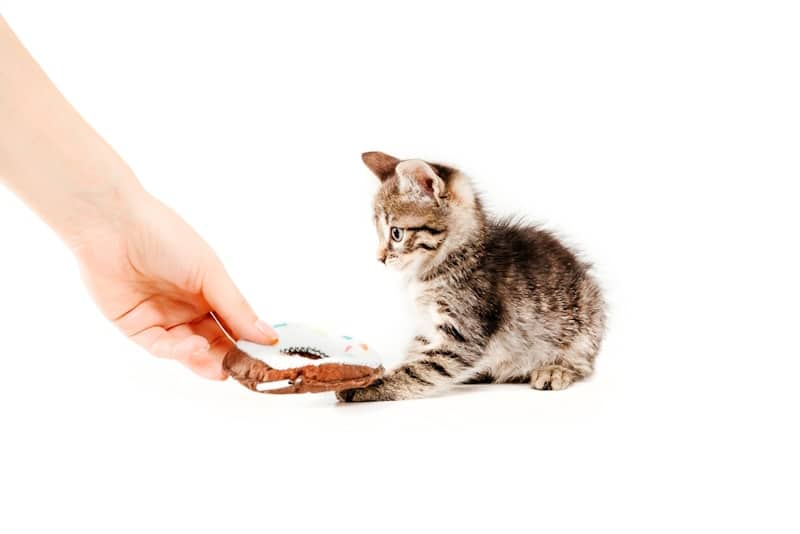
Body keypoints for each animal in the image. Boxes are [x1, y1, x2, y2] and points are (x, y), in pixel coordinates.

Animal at [334, 151, 604, 402]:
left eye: (396, 233)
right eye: (379, 232)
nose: (379, 258)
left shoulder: (463, 335)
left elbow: (418, 369)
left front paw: (365, 386)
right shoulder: (427, 329)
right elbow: (415, 355)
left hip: (584, 329)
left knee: (583, 364)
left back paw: (556, 370)